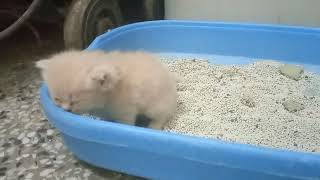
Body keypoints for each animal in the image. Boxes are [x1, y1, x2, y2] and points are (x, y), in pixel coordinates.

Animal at [36, 50, 179, 129]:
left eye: (75, 101)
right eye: (57, 99)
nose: (66, 110)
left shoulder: (126, 111)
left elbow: (126, 123)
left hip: (154, 107)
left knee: (163, 115)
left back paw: (153, 126)